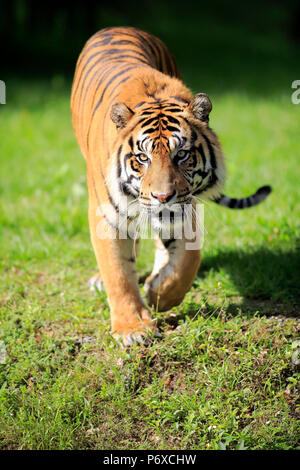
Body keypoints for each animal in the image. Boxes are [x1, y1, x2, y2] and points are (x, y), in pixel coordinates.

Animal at [71, 27, 272, 346]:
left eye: (182, 155)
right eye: (143, 157)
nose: (163, 196)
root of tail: (119, 28)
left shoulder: (186, 208)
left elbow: (188, 259)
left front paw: (159, 294)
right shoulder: (108, 214)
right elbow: (118, 272)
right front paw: (132, 329)